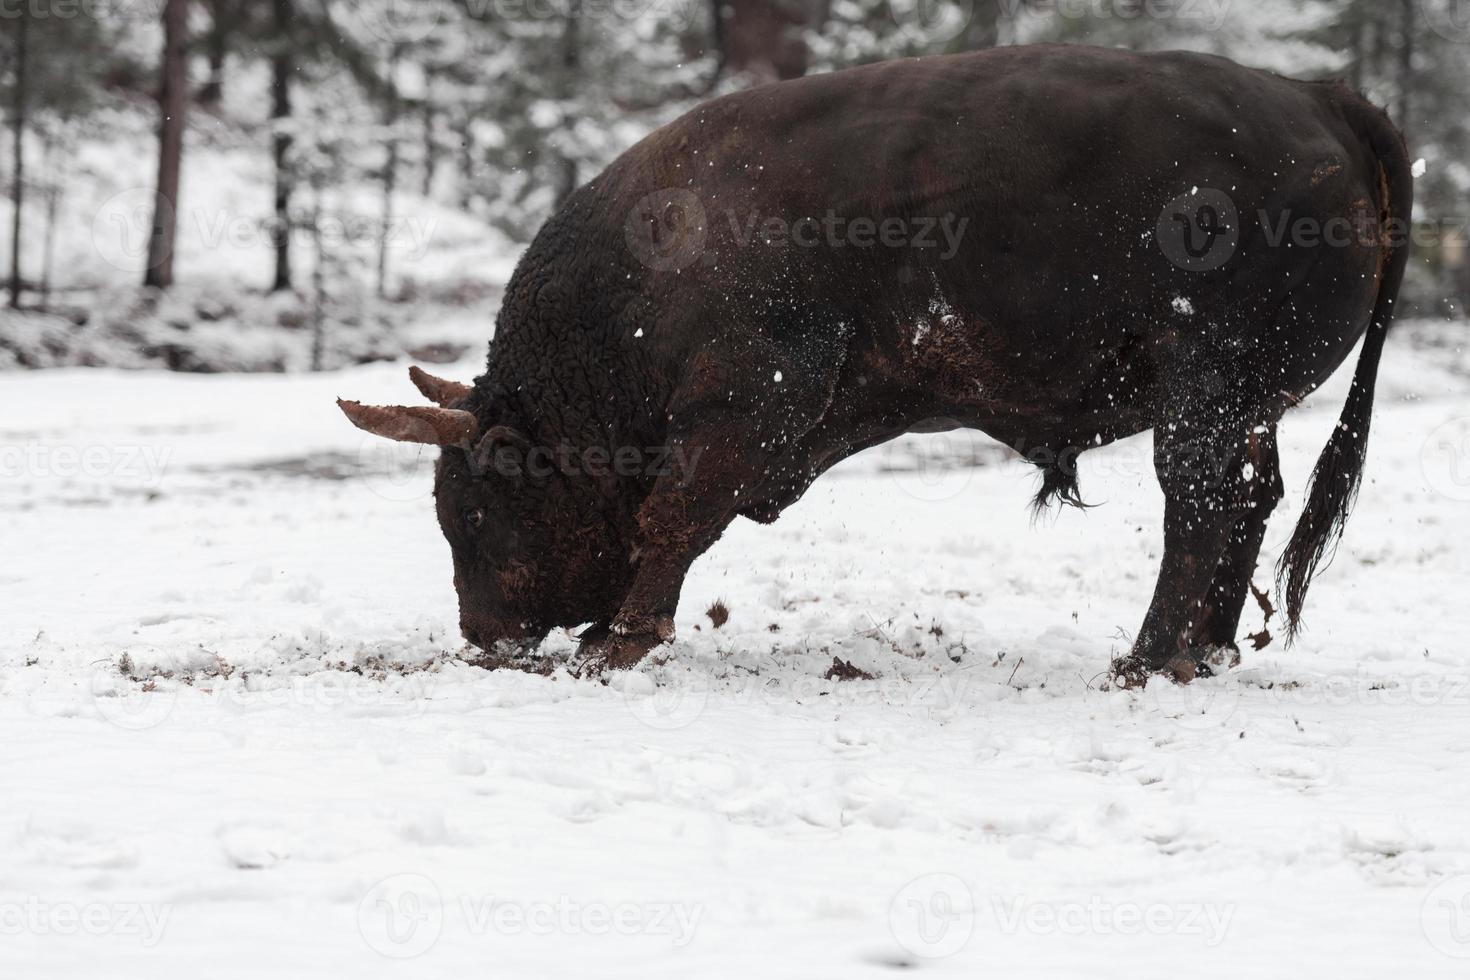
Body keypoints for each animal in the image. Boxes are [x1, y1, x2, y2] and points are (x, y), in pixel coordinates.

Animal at [341, 45, 1411, 687]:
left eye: (473, 507)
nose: (483, 634)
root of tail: (1318, 96)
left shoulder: (745, 407)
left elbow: (673, 518)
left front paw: (618, 643)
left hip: (1204, 393)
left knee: (1199, 505)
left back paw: (1148, 659)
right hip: (1247, 404)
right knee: (1247, 499)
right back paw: (1211, 649)